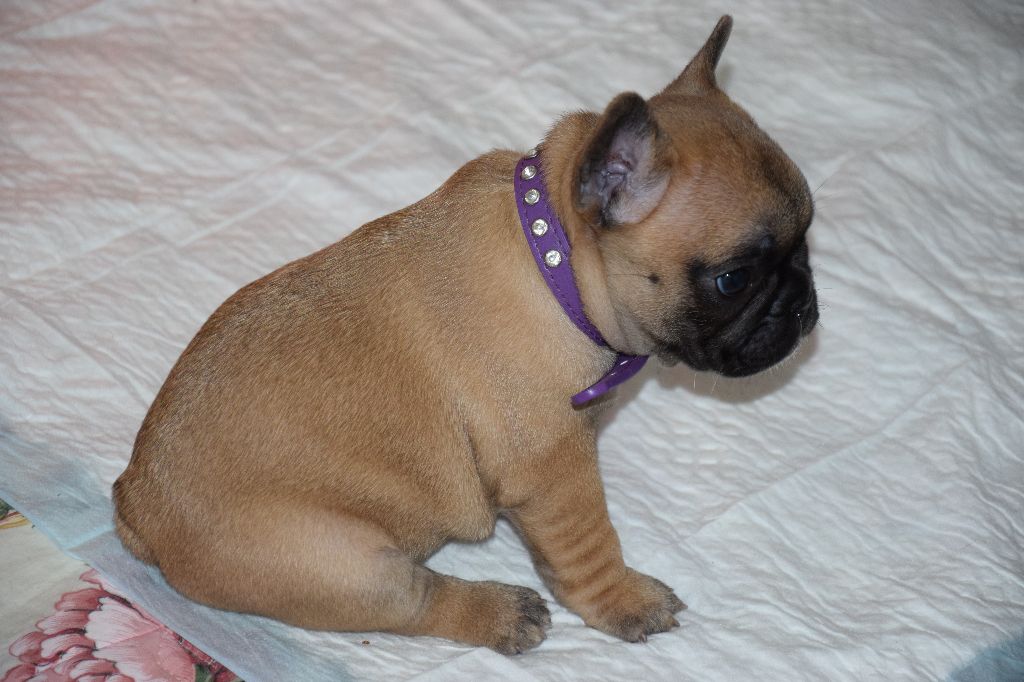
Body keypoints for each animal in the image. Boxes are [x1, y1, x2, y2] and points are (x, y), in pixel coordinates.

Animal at [113, 15, 817, 654]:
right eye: (732, 280)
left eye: (810, 235)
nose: (805, 305)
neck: (555, 260)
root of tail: (138, 504)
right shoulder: (554, 470)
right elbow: (589, 547)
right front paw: (623, 600)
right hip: (341, 563)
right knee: (414, 602)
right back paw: (500, 612)